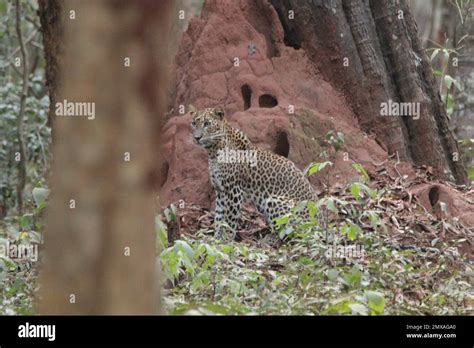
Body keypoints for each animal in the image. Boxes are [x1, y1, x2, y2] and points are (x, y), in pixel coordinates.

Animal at [190, 104, 318, 238]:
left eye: (207, 123)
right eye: (193, 123)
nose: (197, 138)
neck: (213, 152)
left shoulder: (233, 191)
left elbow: (229, 220)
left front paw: (226, 239)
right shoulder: (220, 190)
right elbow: (219, 217)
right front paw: (216, 239)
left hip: (275, 202)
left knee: (293, 232)